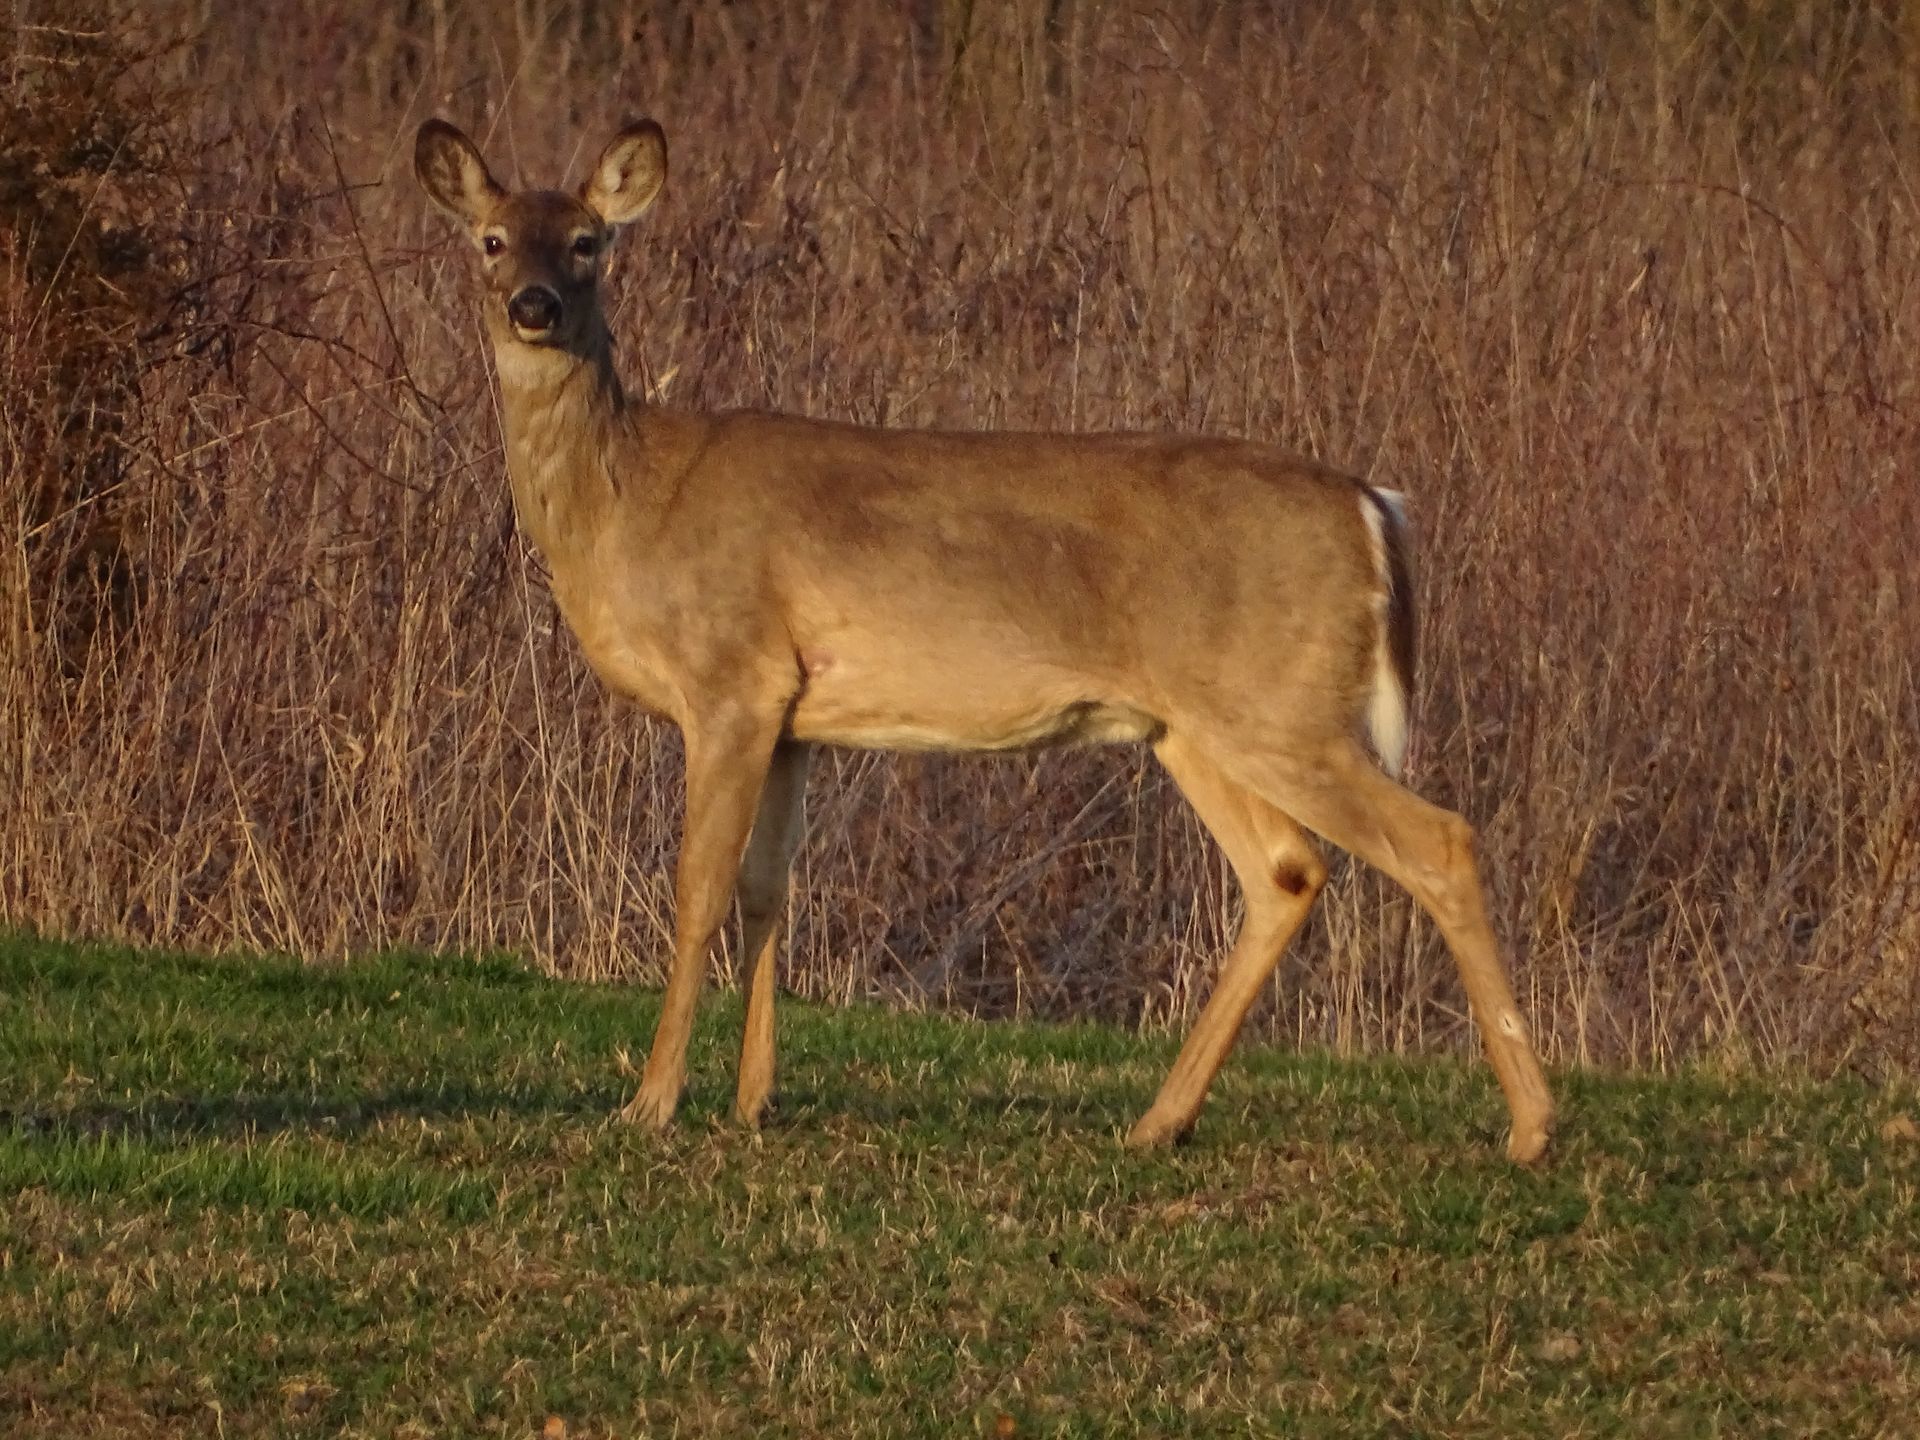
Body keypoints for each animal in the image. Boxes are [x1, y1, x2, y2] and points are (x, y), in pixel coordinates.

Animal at [414, 116, 1555, 1164]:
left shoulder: (730, 675)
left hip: (1283, 706)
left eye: (589, 241)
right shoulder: (793, 713)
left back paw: (1532, 1126)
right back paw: (1158, 1120)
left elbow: (698, 890)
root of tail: (1374, 508)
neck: (628, 506)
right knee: (1285, 871)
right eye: (490, 239)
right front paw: (753, 1100)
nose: (533, 307)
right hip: (1197, 724)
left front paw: (650, 1103)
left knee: (1438, 841)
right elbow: (767, 892)